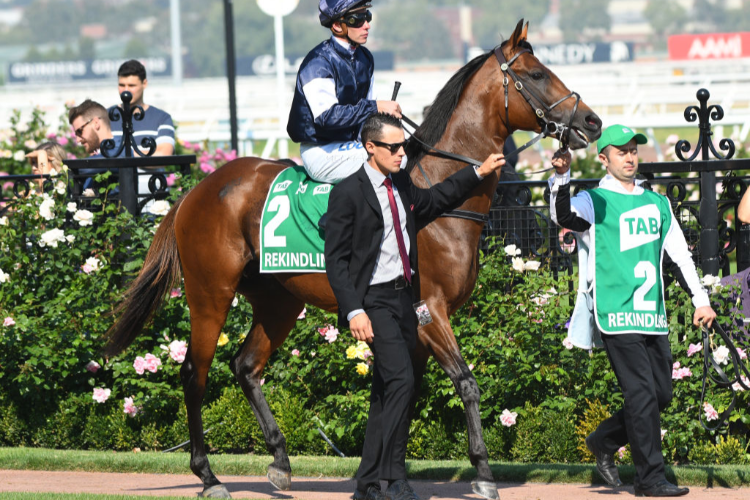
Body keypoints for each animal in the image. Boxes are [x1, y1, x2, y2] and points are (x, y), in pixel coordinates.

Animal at [103, 21, 604, 500]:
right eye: (536, 74)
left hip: (278, 300)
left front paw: (391, 478)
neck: (437, 195)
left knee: (245, 366)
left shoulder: (408, 323)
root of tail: (196, 191)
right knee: (194, 373)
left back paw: (280, 461)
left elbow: (404, 394)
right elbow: (465, 383)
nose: (593, 120)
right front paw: (482, 473)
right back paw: (208, 476)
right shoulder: (430, 310)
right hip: (210, 293)